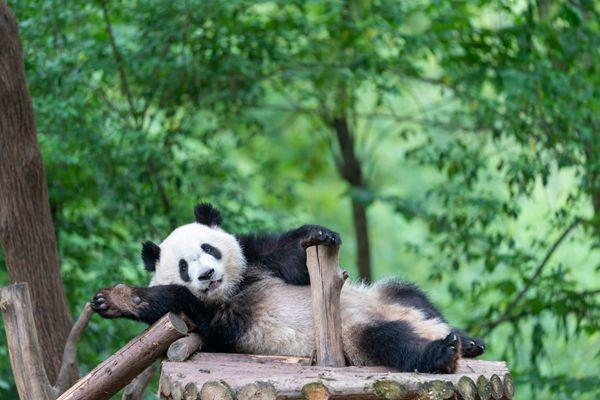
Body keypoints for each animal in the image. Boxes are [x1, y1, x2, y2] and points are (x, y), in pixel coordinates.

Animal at [91, 203, 486, 372]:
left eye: (209, 249)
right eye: (184, 267)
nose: (207, 275)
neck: (234, 287)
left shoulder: (256, 257)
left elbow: (292, 260)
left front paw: (318, 235)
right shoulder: (216, 319)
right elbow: (179, 301)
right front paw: (114, 299)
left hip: (386, 296)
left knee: (412, 296)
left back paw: (466, 341)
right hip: (352, 336)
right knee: (389, 342)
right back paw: (443, 352)